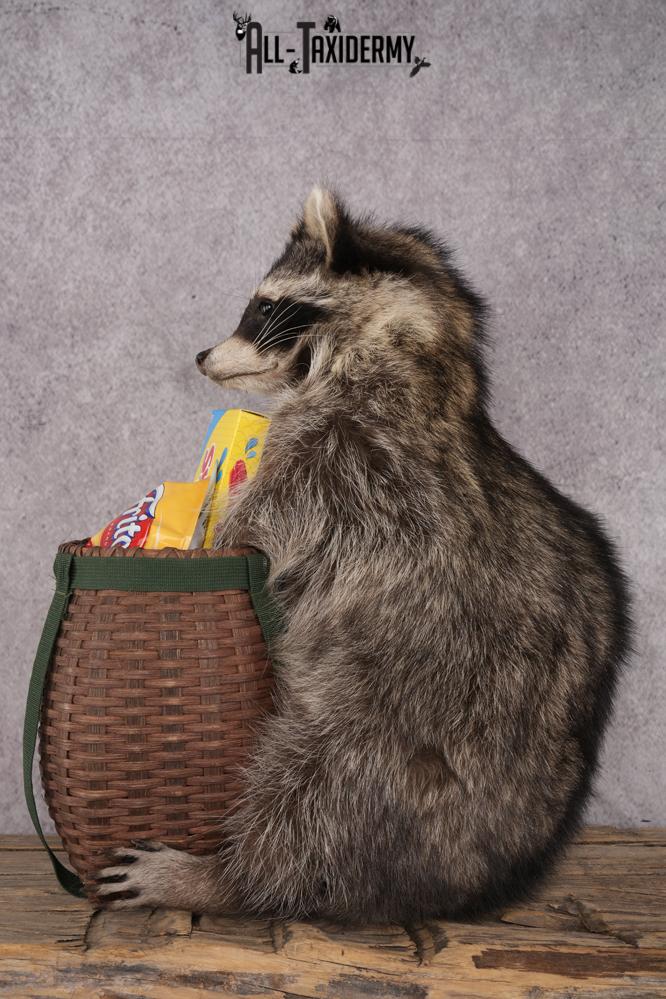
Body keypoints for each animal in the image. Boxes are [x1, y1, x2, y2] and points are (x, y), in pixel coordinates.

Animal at [98, 187, 630, 922]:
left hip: (394, 726)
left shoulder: (336, 459)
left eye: (264, 307)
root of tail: (479, 871)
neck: (418, 355)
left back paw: (229, 877)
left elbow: (255, 539)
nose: (203, 355)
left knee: (314, 798)